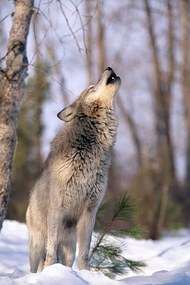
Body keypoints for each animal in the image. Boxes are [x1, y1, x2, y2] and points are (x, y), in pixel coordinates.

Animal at [25, 66, 120, 270]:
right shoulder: (57, 208)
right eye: (91, 88)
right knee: (36, 264)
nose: (109, 67)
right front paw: (52, 271)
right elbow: (51, 252)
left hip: (69, 248)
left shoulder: (90, 210)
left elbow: (84, 254)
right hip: (36, 247)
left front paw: (85, 273)